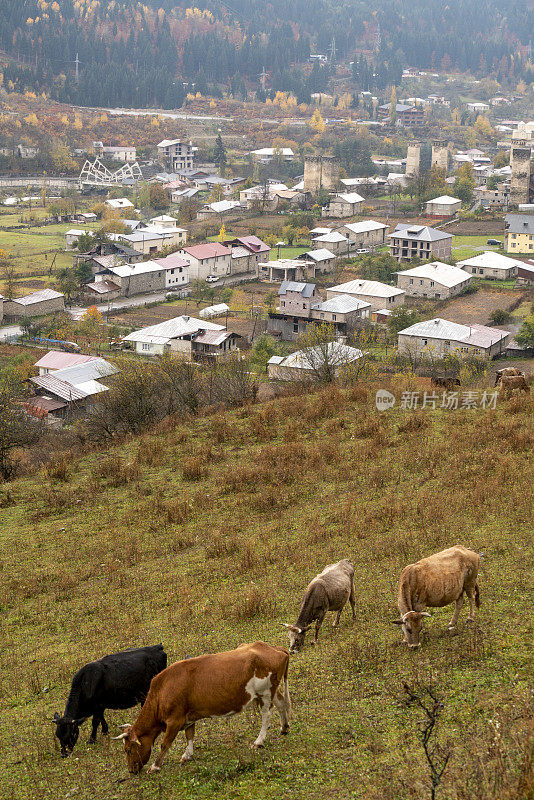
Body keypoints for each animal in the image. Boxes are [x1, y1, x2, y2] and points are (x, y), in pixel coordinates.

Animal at [111, 636, 292, 776]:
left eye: (128, 749)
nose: (131, 771)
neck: (162, 691)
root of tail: (275, 648)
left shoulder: (174, 720)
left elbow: (165, 743)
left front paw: (155, 766)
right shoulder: (188, 716)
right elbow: (189, 735)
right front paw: (187, 755)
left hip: (264, 693)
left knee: (267, 715)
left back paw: (259, 741)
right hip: (272, 690)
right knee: (282, 703)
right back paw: (284, 728)